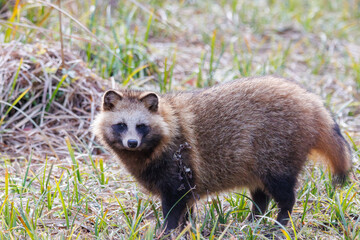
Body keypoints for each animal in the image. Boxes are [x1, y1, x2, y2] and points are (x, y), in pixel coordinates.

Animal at [92, 76, 352, 232]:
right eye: (121, 125)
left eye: (142, 126)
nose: (132, 143)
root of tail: (311, 101)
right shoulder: (185, 178)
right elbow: (186, 208)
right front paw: (185, 228)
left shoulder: (179, 166)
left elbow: (174, 207)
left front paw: (167, 230)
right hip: (256, 163)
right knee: (260, 195)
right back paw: (254, 221)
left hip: (278, 154)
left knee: (286, 195)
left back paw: (279, 224)